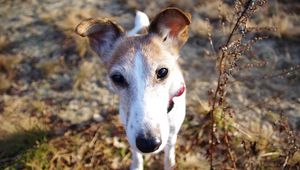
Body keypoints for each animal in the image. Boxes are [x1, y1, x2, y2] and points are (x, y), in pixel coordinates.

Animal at [76, 7, 191, 169]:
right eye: (117, 78)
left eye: (163, 72)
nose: (148, 144)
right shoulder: (129, 130)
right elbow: (136, 154)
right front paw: (137, 165)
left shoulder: (172, 133)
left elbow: (169, 156)